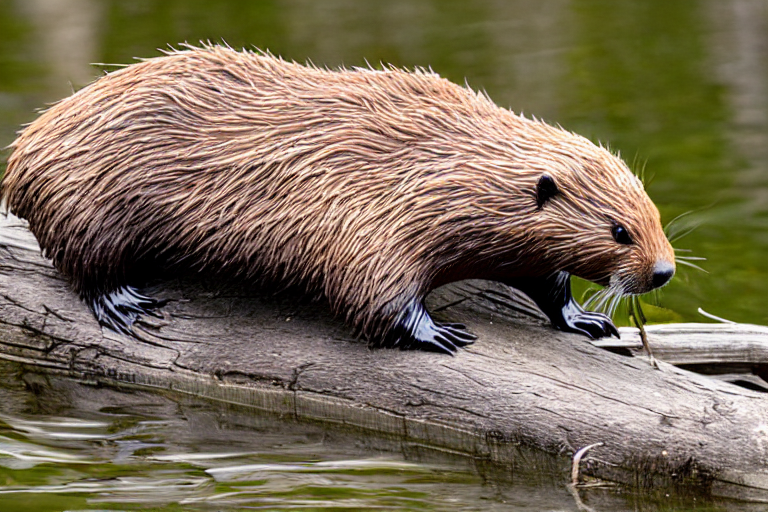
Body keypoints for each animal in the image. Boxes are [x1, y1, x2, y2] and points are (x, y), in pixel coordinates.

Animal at [0, 44, 676, 354]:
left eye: (653, 216)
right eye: (619, 231)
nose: (664, 271)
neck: (452, 160)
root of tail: (25, 151)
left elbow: (547, 279)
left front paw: (587, 319)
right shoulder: (375, 210)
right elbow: (368, 290)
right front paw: (439, 332)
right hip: (89, 205)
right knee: (84, 266)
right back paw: (125, 304)